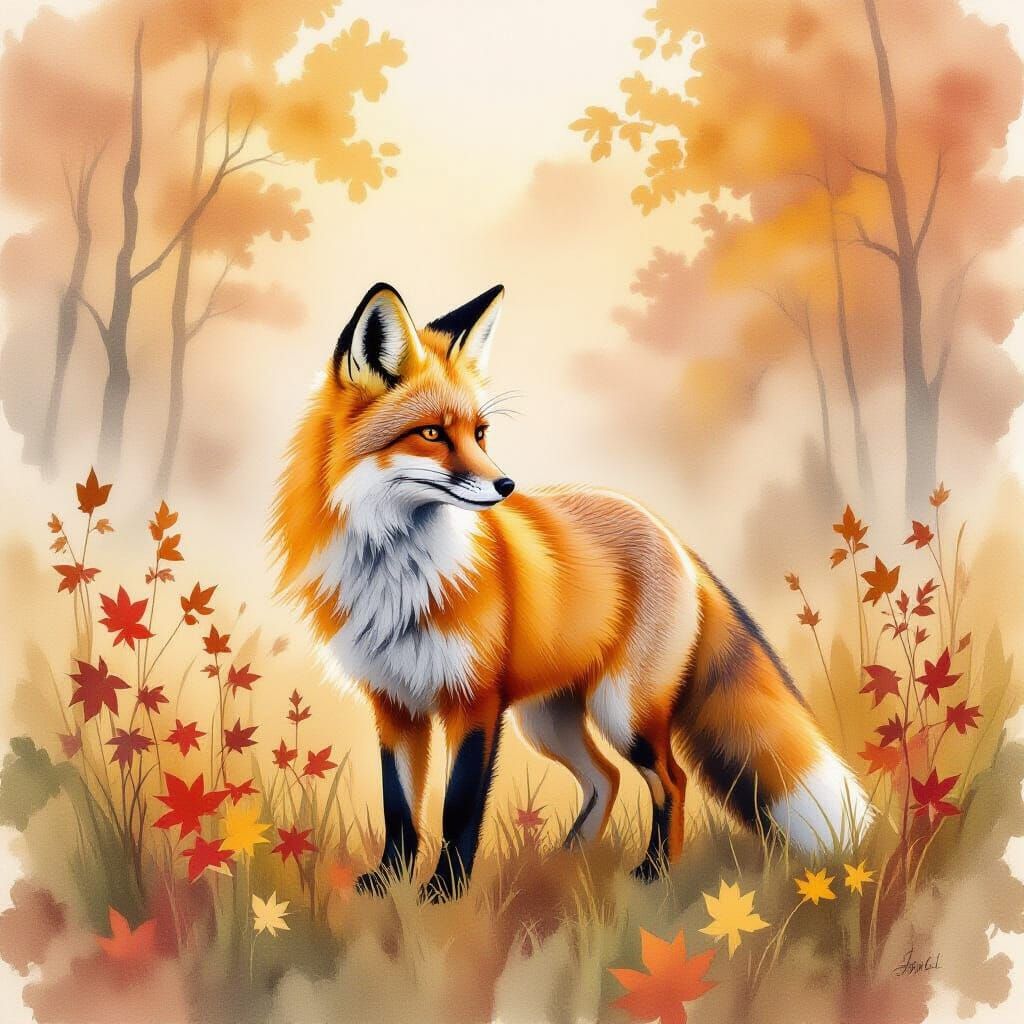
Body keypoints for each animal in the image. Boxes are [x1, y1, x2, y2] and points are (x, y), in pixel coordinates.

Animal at [271, 282, 874, 901]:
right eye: (433, 433)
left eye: (480, 433)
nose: (506, 485)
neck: (398, 573)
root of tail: (670, 534)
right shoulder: (394, 703)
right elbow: (399, 808)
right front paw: (387, 883)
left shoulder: (474, 703)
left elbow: (458, 809)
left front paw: (443, 893)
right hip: (547, 722)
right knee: (605, 778)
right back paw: (567, 862)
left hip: (622, 712)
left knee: (671, 779)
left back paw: (653, 873)